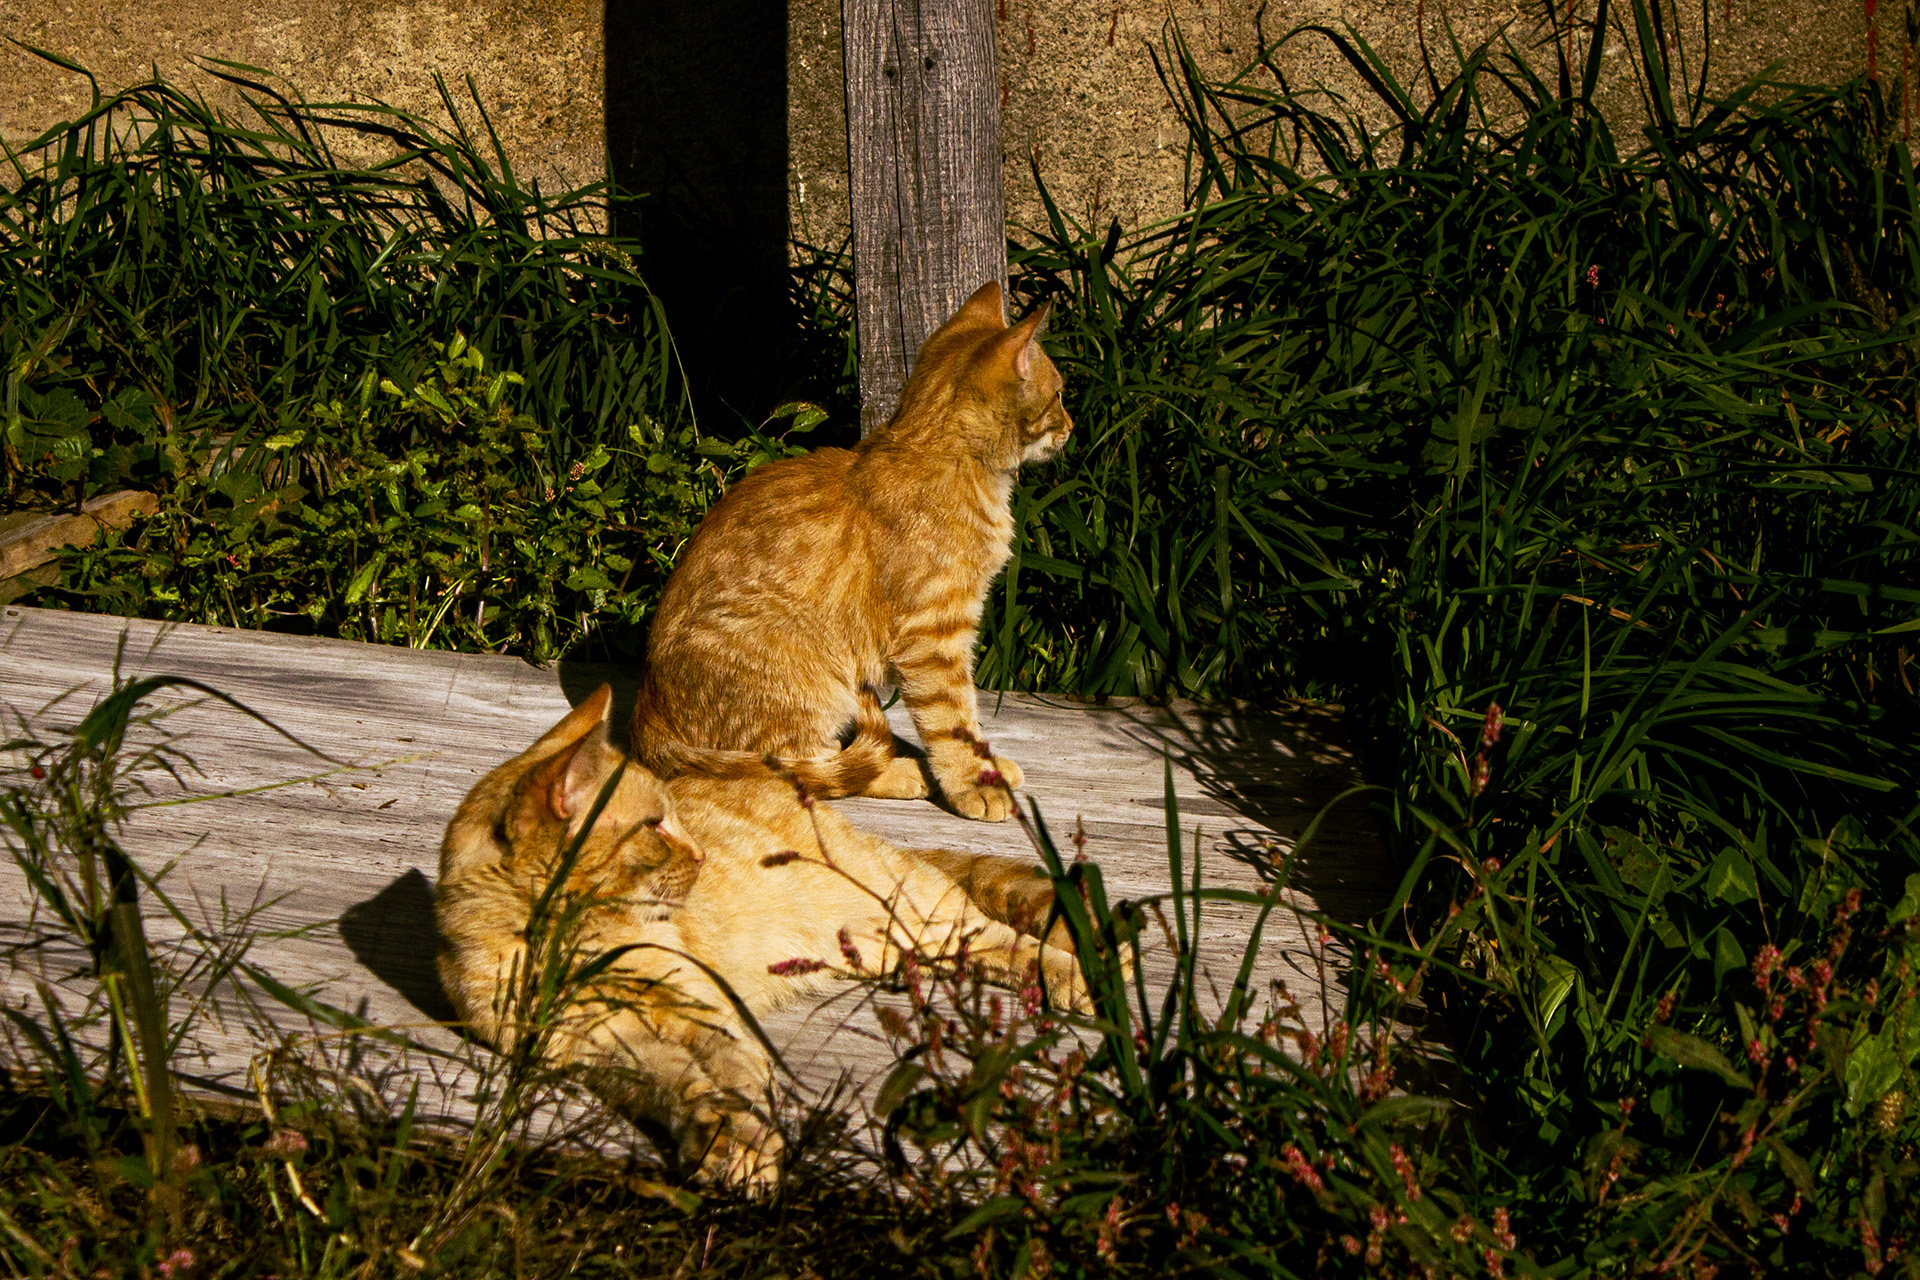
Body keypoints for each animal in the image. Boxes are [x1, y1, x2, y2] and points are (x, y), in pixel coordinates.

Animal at [437, 690, 1098, 1189]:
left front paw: (745, 1147)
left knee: (1004, 936)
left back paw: (1077, 980)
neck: (570, 946)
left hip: (910, 906)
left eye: (674, 817)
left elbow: (734, 1083)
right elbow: (683, 1086)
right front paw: (714, 1140)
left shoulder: (703, 1011)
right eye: (655, 827)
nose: (699, 855)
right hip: (885, 945)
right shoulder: (598, 1046)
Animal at [633, 280, 1075, 821]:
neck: (945, 458)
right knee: (807, 772)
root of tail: (647, 714)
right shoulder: (933, 637)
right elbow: (952, 716)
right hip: (811, 680)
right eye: (1059, 395)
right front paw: (975, 779)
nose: (1071, 425)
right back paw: (902, 771)